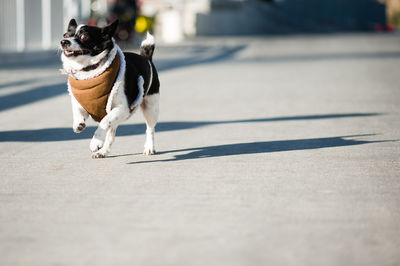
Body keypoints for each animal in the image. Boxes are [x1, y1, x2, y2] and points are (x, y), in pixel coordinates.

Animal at [59, 19, 159, 159]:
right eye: (65, 35)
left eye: (84, 36)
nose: (63, 41)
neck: (88, 70)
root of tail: (146, 57)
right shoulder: (82, 104)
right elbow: (77, 112)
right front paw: (78, 124)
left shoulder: (122, 109)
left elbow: (104, 121)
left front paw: (95, 142)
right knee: (111, 135)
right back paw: (103, 151)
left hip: (151, 107)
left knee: (150, 129)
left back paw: (149, 147)